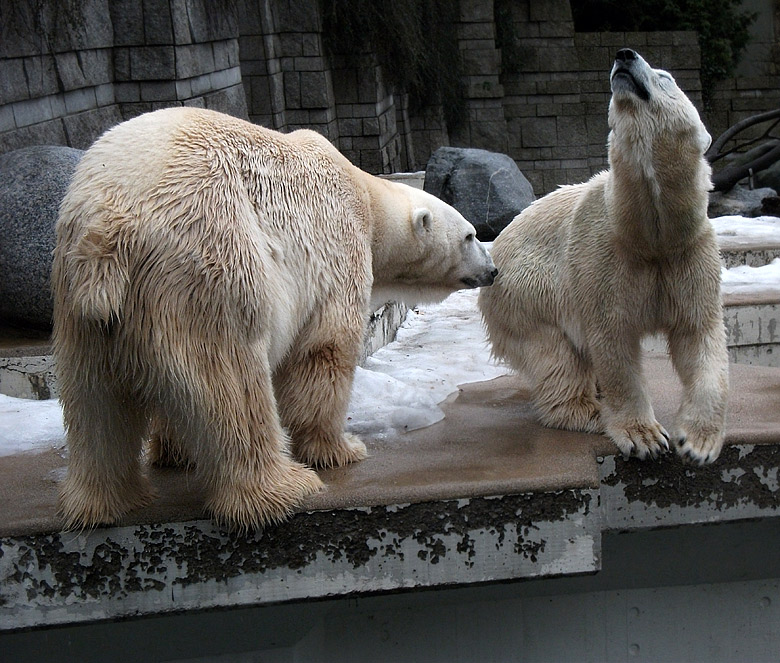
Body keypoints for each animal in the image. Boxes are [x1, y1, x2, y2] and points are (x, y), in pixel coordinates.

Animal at [51, 106, 496, 532]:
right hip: (208, 268)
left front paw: (177, 452)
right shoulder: (336, 248)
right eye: (471, 235)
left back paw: (102, 502)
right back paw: (281, 488)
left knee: (96, 403)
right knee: (231, 386)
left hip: (83, 308)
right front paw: (340, 449)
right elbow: (324, 350)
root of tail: (107, 225)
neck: (367, 198)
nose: (492, 270)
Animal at [478, 48, 728, 466]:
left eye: (665, 77)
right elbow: (612, 338)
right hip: (524, 289)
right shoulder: (603, 258)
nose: (624, 55)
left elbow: (698, 332)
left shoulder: (690, 253)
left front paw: (698, 442)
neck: (649, 234)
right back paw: (590, 410)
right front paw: (644, 436)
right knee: (554, 353)